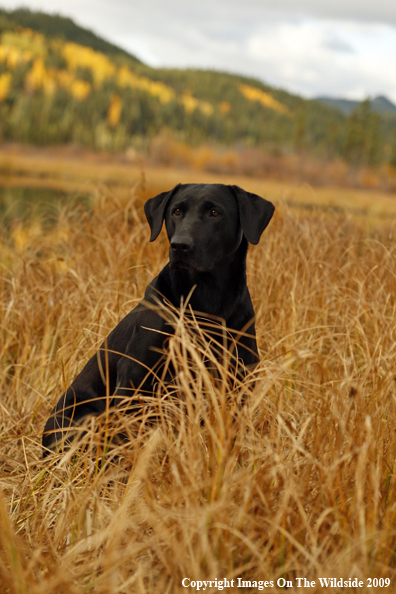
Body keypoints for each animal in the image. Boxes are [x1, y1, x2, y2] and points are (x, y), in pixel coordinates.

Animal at [41, 184, 274, 454]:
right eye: (176, 211)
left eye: (215, 212)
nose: (179, 245)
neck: (208, 299)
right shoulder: (134, 373)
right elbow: (124, 439)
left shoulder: (238, 378)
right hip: (82, 416)